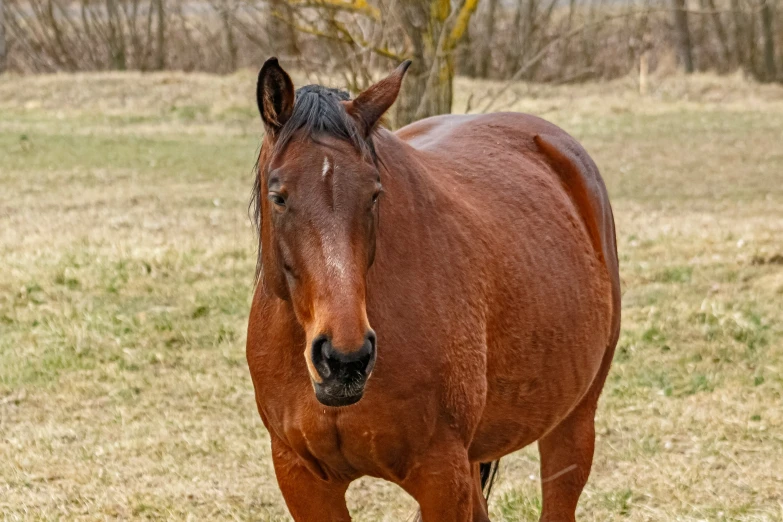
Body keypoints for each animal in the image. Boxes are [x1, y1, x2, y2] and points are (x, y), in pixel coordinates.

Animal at [248, 58, 620, 520]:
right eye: (279, 196)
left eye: (374, 193)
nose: (345, 360)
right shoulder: (302, 478)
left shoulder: (441, 475)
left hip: (572, 425)